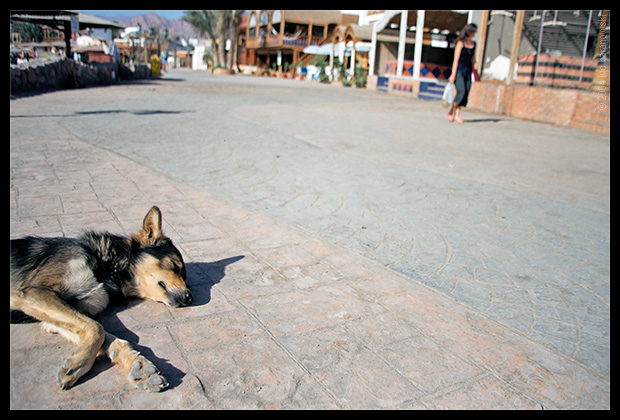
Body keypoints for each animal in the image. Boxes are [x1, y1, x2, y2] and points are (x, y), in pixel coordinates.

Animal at [9, 206, 193, 390]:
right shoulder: (36, 292)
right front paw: (79, 363)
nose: (189, 297)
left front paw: (139, 365)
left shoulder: (55, 315)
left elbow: (105, 335)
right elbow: (96, 328)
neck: (106, 266)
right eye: (174, 265)